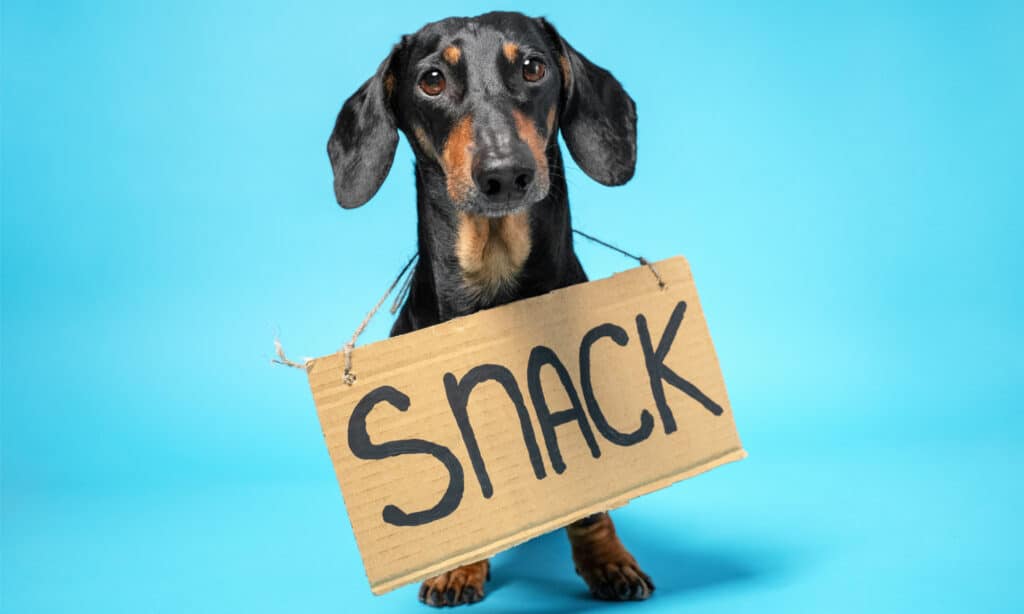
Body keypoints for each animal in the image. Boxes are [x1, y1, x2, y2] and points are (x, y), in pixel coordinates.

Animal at [327, 12, 647, 605]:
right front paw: (459, 569)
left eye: (533, 67)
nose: (504, 173)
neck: (495, 283)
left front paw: (606, 560)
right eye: (432, 79)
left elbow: (591, 506)